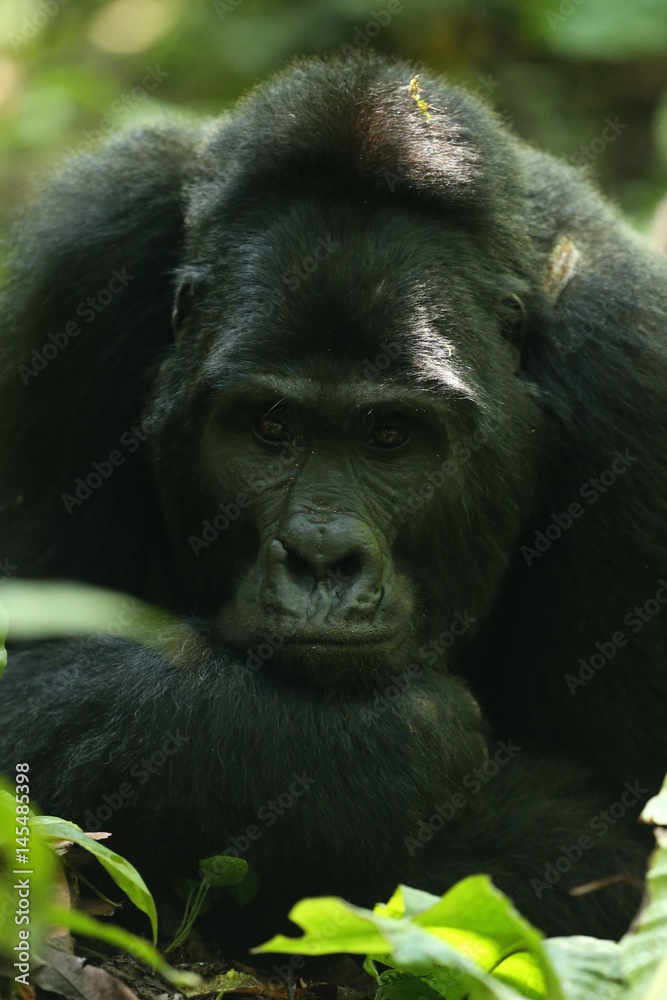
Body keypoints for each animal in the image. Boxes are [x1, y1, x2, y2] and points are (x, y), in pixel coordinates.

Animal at [1, 52, 667, 944]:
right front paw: (378, 748)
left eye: (389, 436)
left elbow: (609, 853)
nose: (321, 557)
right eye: (271, 426)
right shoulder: (81, 264)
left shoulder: (634, 382)